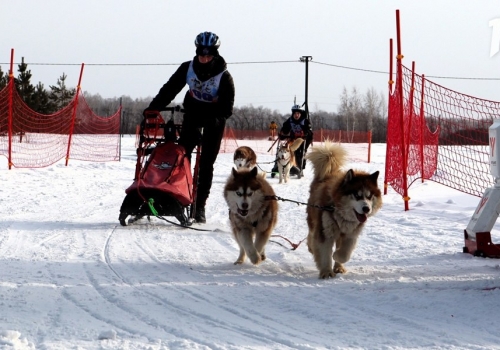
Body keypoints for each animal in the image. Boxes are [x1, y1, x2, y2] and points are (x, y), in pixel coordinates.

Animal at [304, 142, 382, 278]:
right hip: (314, 220)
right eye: (356, 195)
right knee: (311, 234)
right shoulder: (325, 232)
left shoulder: (350, 234)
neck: (341, 214)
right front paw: (326, 272)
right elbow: (325, 253)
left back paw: (338, 266)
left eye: (369, 196)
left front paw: (337, 259)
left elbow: (345, 253)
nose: (366, 209)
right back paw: (311, 247)